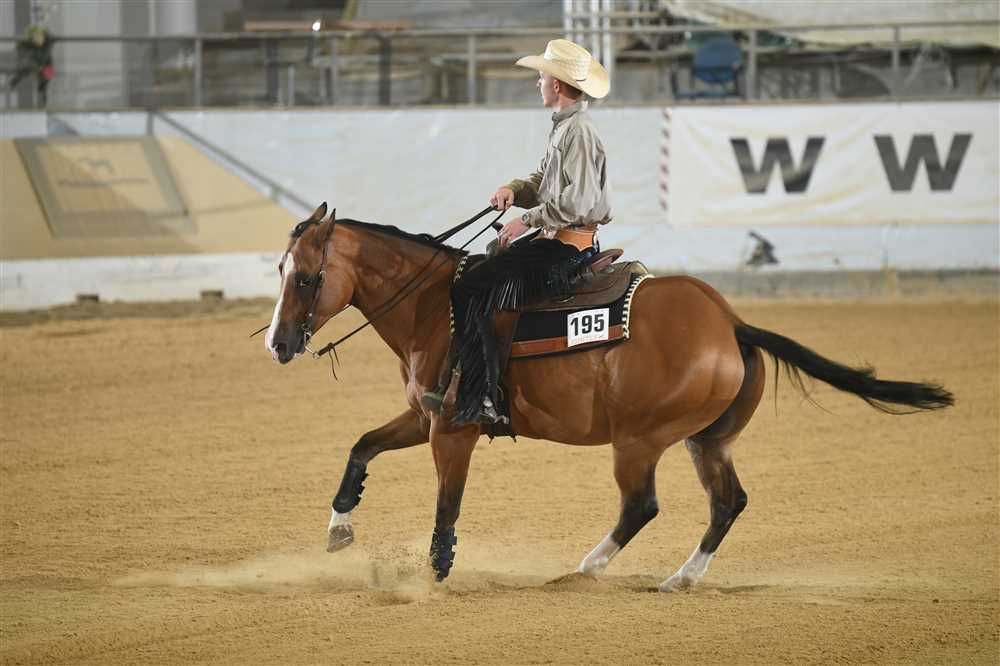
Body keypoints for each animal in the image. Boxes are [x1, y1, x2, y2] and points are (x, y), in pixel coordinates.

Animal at [264, 203, 953, 589]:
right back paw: (680, 579)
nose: (278, 342)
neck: (439, 307)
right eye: (279, 270)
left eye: (308, 277)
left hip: (640, 441)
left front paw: (433, 576)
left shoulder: (454, 430)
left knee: (642, 506)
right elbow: (361, 448)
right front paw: (339, 529)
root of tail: (730, 323)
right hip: (709, 440)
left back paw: (583, 570)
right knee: (728, 502)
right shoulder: (423, 414)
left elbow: (447, 506)